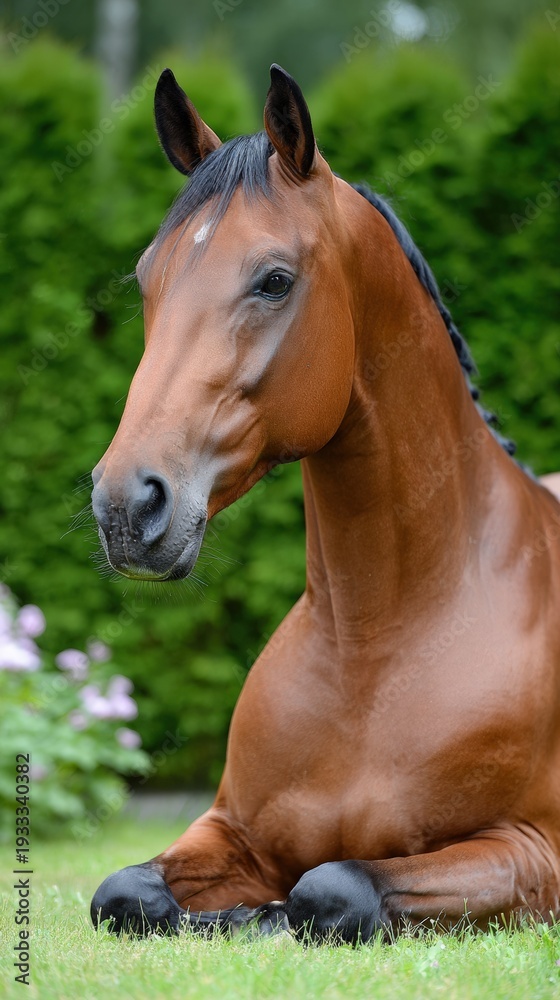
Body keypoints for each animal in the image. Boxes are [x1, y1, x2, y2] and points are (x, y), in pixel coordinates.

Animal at [90, 65, 560, 942]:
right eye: (147, 276)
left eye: (274, 279)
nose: (126, 506)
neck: (373, 651)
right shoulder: (229, 831)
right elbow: (126, 890)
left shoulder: (531, 852)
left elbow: (335, 887)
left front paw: (264, 915)